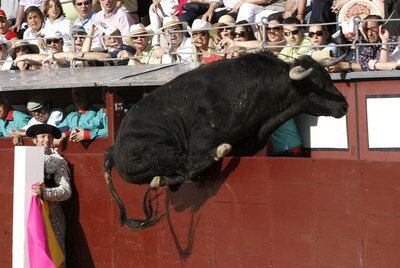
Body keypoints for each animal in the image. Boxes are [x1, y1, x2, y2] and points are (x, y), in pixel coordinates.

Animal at [103, 51, 346, 228]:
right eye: (319, 85)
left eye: (328, 77)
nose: (344, 106)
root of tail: (113, 149)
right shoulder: (200, 141)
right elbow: (195, 161)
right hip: (165, 152)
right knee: (188, 168)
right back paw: (215, 154)